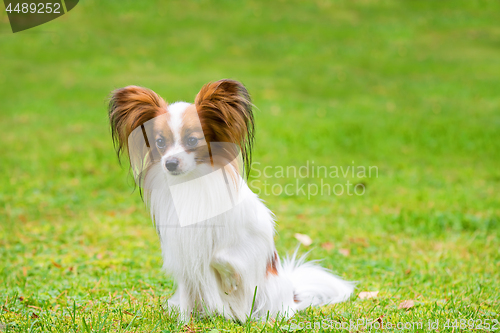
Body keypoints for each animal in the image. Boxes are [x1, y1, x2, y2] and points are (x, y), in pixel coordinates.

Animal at [107, 79, 354, 320]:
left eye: (192, 140)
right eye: (159, 143)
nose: (170, 163)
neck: (192, 182)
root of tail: (292, 295)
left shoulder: (254, 237)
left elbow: (218, 256)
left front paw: (229, 282)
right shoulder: (182, 251)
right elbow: (189, 288)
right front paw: (184, 323)